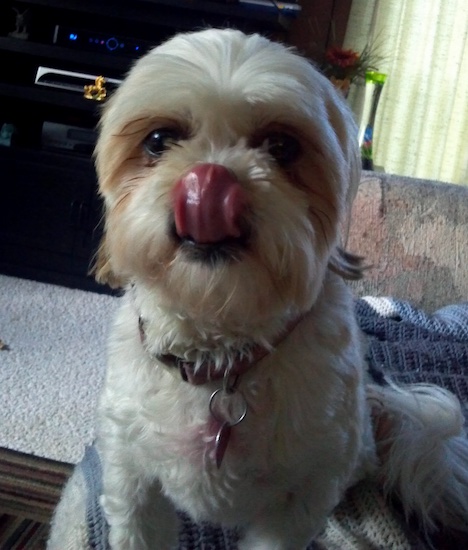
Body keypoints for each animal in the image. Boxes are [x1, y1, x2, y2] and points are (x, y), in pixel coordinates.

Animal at [83, 31, 464, 550]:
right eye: (159, 140)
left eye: (282, 147)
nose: (211, 177)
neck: (221, 357)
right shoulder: (132, 480)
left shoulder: (298, 503)